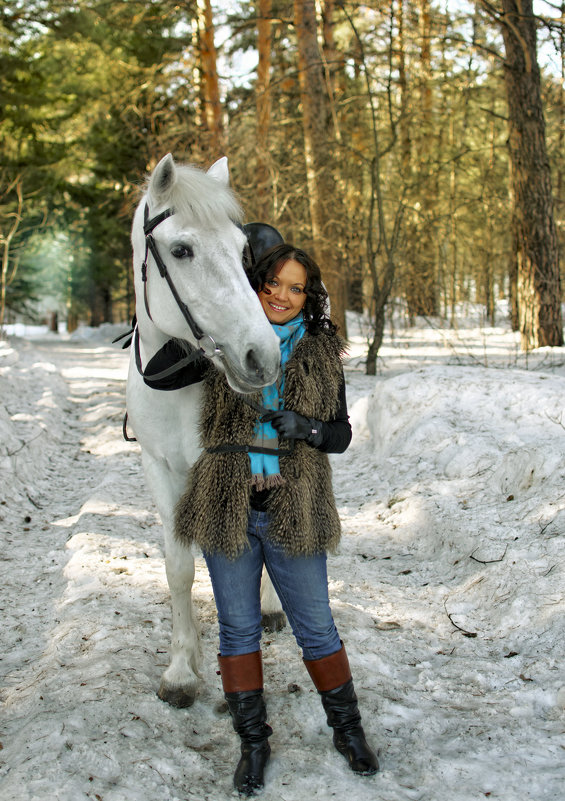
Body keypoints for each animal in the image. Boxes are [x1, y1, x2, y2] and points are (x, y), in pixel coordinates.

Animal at [128, 155, 284, 708]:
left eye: (242, 253)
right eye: (181, 250)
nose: (263, 356)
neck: (177, 377)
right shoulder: (158, 467)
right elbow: (179, 566)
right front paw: (181, 668)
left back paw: (270, 605)